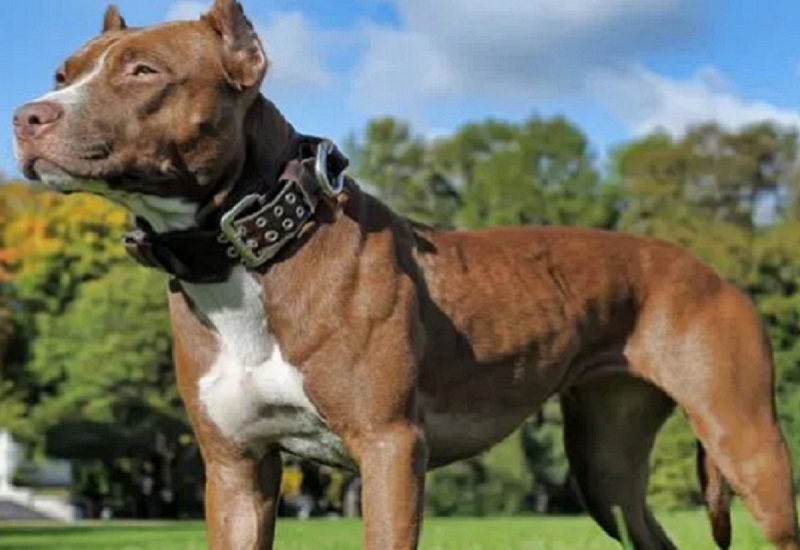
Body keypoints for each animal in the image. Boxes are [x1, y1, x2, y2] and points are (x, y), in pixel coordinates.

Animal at [12, 2, 800, 549]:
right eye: (63, 74)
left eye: (143, 71)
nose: (27, 116)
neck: (251, 254)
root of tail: (707, 266)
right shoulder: (235, 471)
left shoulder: (390, 449)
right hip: (607, 465)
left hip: (747, 443)